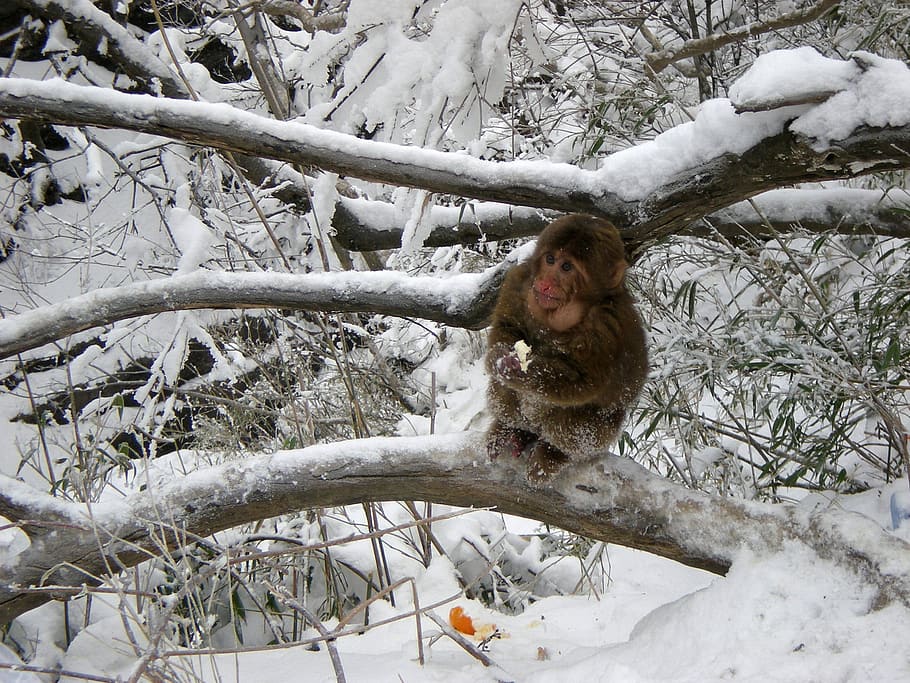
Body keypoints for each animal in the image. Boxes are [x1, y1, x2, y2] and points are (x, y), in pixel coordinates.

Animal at [485, 214, 648, 483]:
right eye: (550, 260)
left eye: (567, 267)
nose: (545, 282)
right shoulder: (519, 282)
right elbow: (505, 327)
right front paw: (499, 358)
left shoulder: (605, 328)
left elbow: (584, 381)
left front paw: (521, 372)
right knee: (504, 391)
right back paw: (512, 429)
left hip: (597, 429)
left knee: (579, 422)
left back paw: (554, 453)